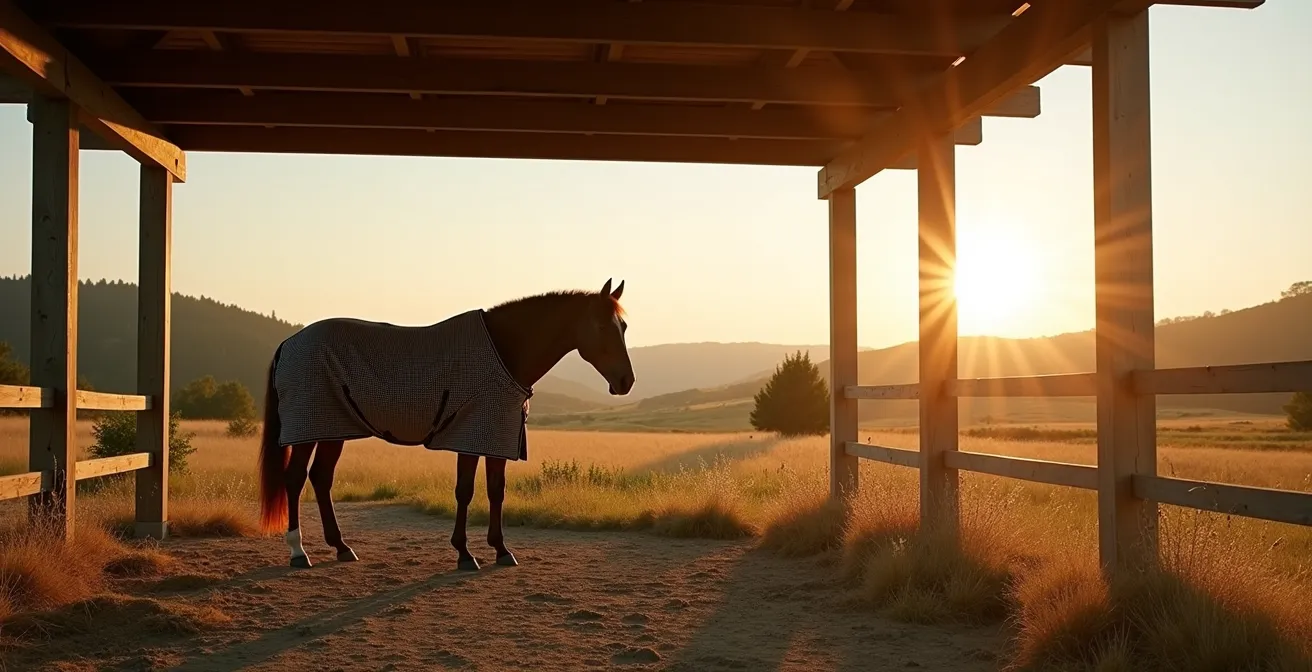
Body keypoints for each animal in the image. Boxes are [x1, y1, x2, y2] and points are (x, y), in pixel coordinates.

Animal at [255, 279, 634, 570]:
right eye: (603, 326)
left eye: (625, 327)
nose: (626, 381)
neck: (503, 351)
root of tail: (289, 343)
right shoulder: (470, 434)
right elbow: (465, 491)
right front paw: (465, 554)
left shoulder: (497, 435)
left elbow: (496, 491)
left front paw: (501, 550)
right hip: (309, 429)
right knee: (295, 479)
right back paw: (298, 552)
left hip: (334, 428)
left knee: (321, 478)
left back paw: (341, 547)